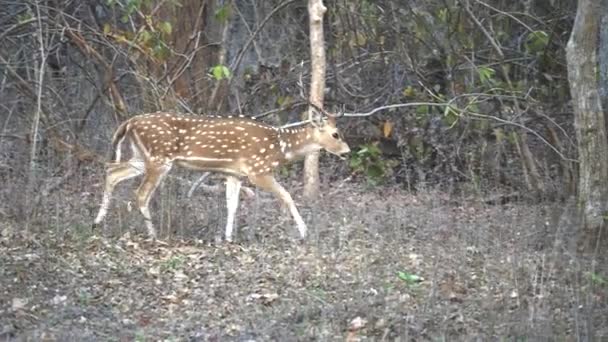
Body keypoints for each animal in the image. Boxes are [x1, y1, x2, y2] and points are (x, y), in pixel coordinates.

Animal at [92, 109, 350, 240]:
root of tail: (129, 122)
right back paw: (154, 234)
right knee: (141, 193)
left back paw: (97, 222)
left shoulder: (233, 173)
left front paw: (227, 238)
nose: (347, 151)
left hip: (140, 157)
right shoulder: (257, 170)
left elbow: (231, 205)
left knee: (112, 171)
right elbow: (286, 196)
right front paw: (304, 233)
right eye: (336, 134)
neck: (280, 147)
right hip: (159, 158)